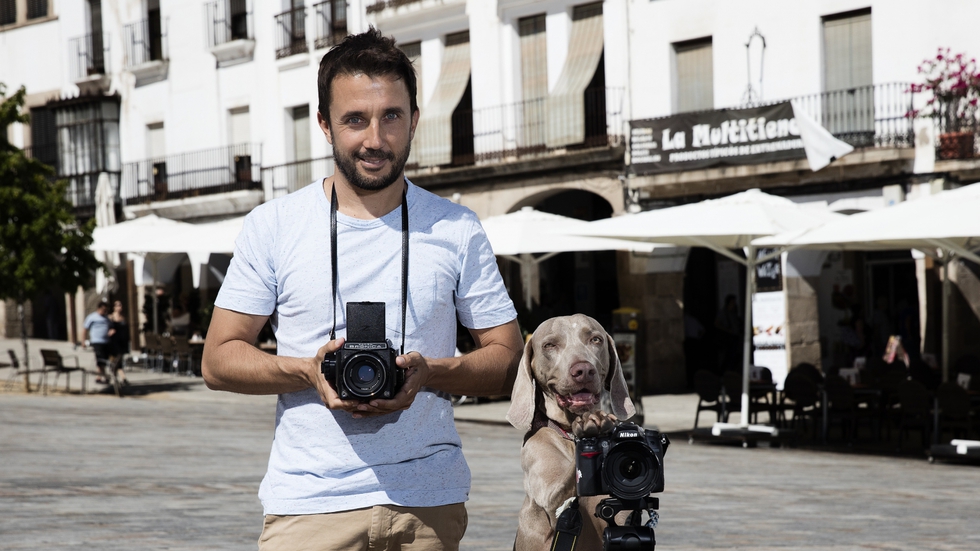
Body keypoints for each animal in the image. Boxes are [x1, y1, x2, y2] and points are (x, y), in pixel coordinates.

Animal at [506, 314, 636, 551]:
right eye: (549, 345)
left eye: (596, 339)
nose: (583, 371)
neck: (569, 433)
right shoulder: (551, 500)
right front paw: (593, 424)